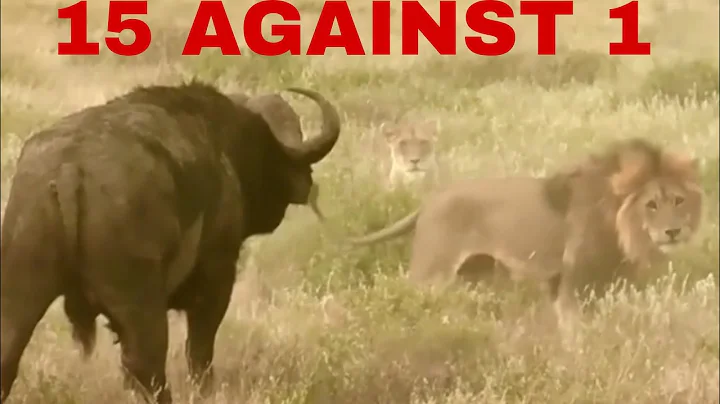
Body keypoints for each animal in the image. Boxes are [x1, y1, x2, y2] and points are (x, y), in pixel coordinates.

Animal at [0, 80, 341, 403]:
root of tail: (70, 168)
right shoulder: (217, 278)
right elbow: (200, 351)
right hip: (140, 304)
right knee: (147, 366)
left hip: (22, 293)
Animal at [346, 138, 705, 335]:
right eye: (651, 204)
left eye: (678, 200)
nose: (673, 231)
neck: (620, 224)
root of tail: (428, 202)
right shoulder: (575, 280)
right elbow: (576, 331)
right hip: (430, 274)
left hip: (474, 275)